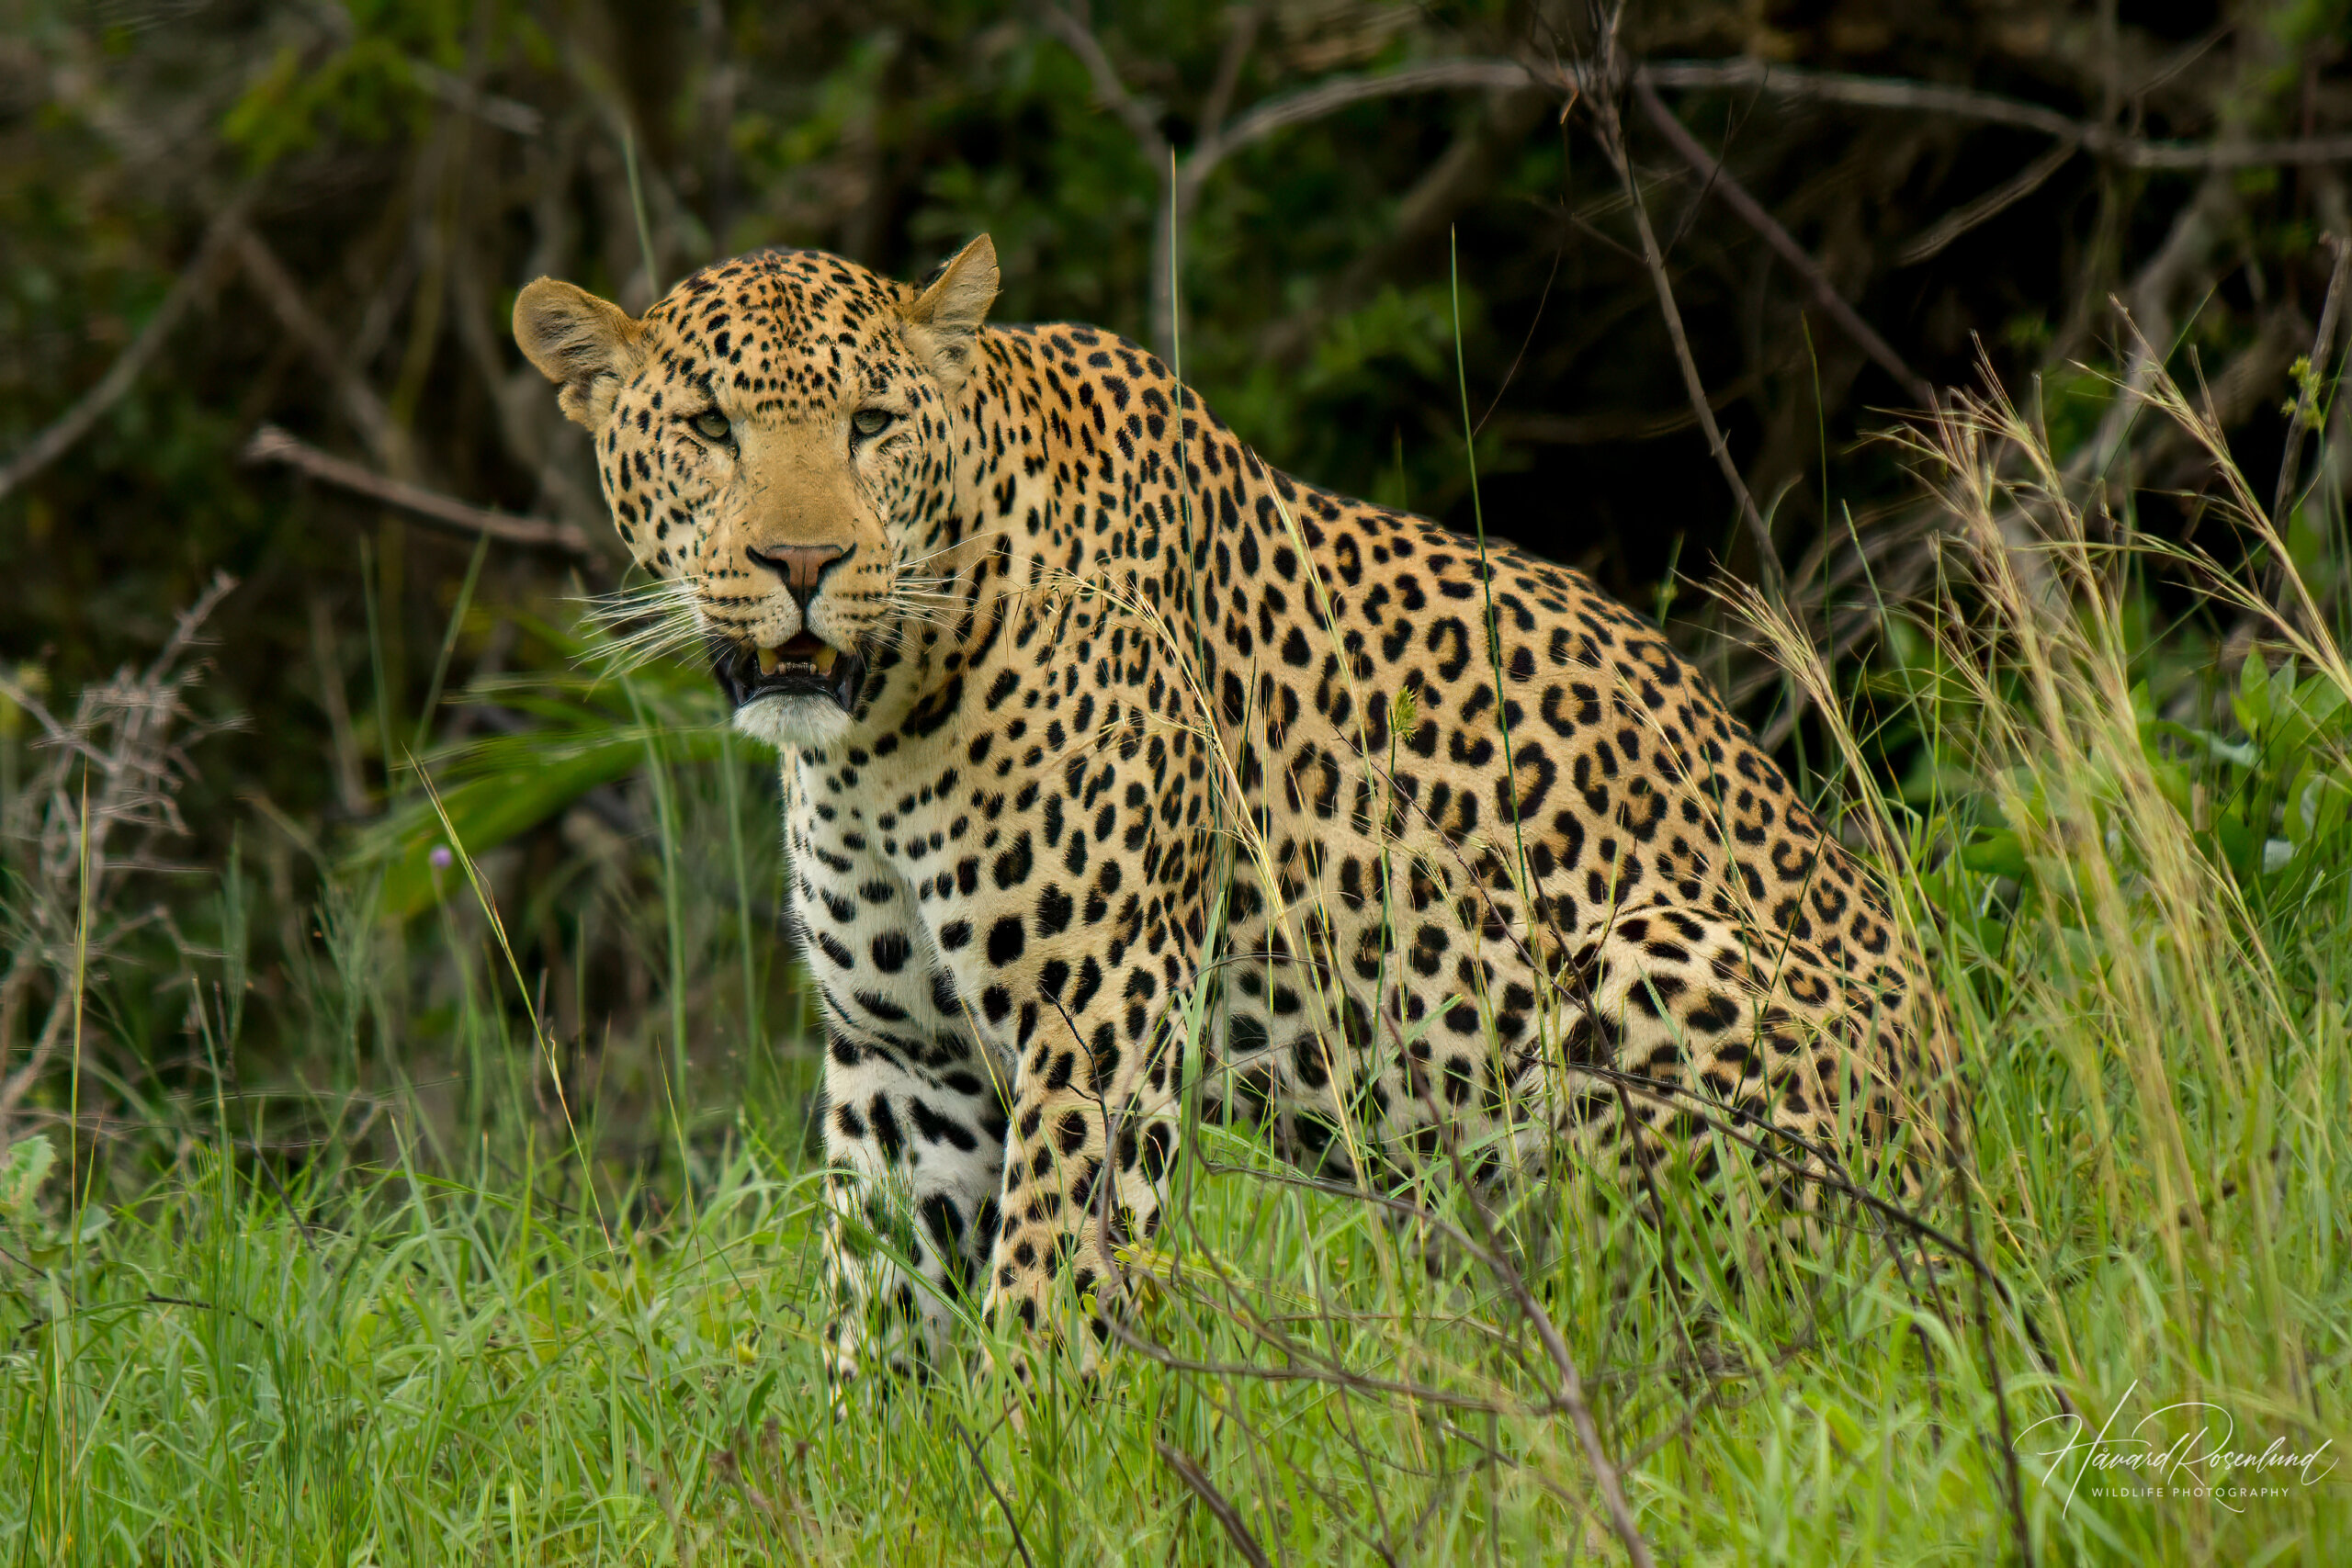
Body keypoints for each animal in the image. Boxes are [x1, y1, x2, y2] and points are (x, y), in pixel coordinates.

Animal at [513, 234, 1946, 1388]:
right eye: (709, 427)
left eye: (871, 424)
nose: (803, 563)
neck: (879, 731)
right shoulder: (900, 1056)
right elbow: (875, 1297)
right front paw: (882, 1474)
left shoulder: (1093, 1009)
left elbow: (1047, 1274)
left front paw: (1040, 1453)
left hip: (1643, 957)